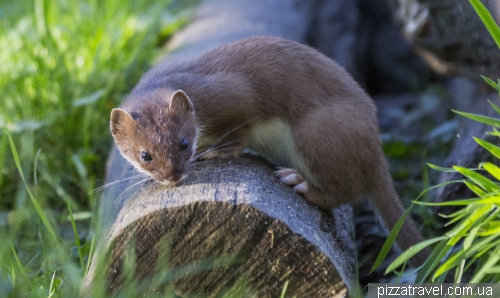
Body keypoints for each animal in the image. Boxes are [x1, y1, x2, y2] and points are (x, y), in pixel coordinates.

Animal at [110, 35, 430, 266]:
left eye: (184, 142)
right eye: (145, 154)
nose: (173, 175)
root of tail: (375, 141)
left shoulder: (236, 94)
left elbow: (238, 131)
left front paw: (214, 151)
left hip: (316, 131)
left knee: (347, 189)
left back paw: (298, 181)